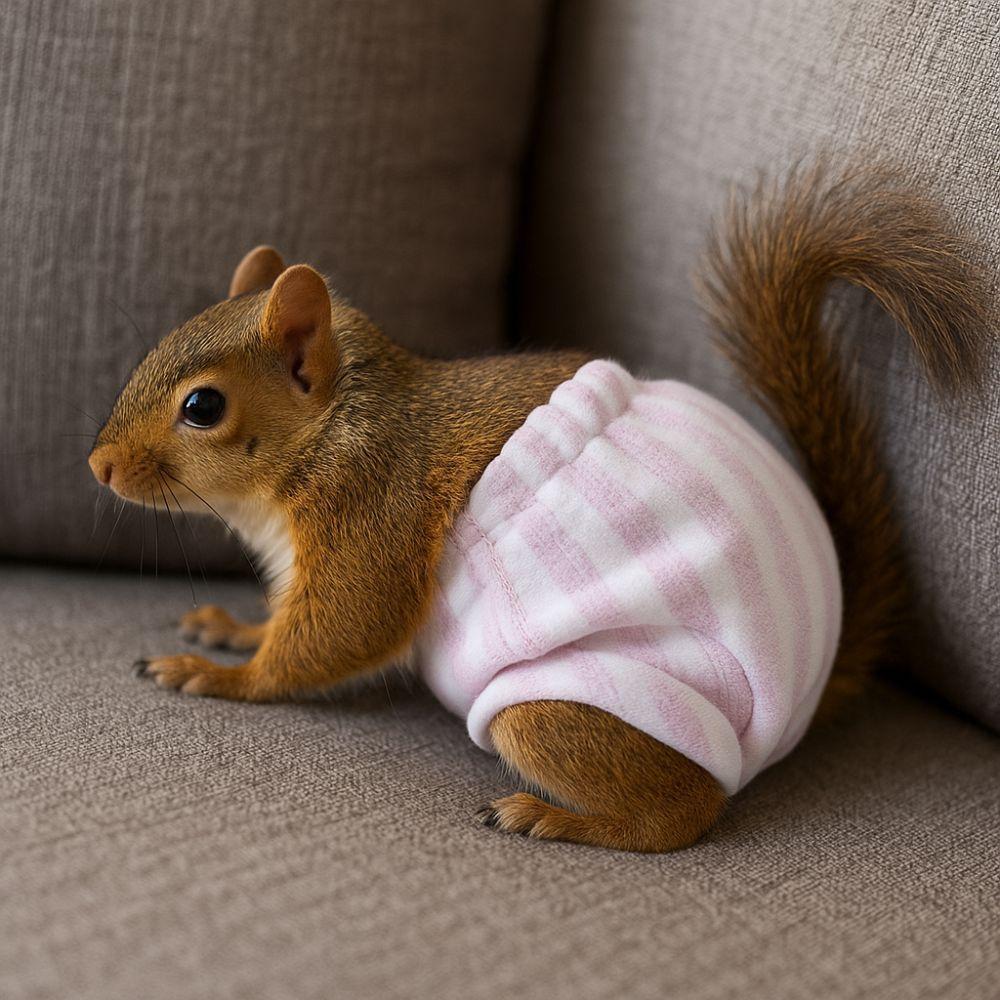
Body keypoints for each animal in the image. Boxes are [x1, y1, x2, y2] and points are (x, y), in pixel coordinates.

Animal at [89, 163, 987, 853]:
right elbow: (285, 621)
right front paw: (230, 628)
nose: (98, 465)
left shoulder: (373, 512)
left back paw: (555, 818)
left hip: (563, 708)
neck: (339, 426)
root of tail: (807, 682)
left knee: (685, 815)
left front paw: (217, 675)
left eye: (203, 407)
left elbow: (336, 632)